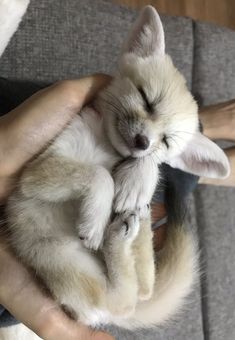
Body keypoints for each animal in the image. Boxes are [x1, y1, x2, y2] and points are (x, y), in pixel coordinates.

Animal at [0, 3, 230, 340]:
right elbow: (100, 174)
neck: (104, 145)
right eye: (146, 100)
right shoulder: (37, 172)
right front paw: (96, 218)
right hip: (61, 258)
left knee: (131, 297)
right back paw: (116, 234)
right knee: (128, 298)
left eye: (166, 141)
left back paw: (122, 233)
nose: (142, 142)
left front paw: (138, 175)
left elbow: (114, 171)